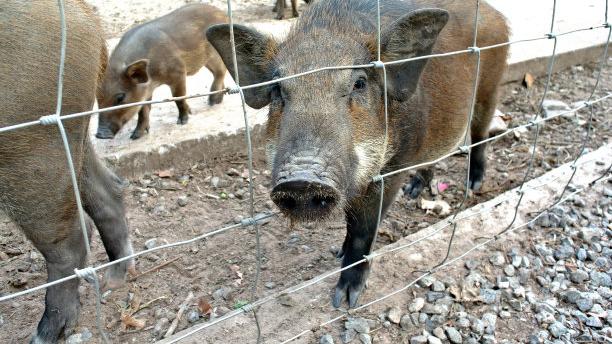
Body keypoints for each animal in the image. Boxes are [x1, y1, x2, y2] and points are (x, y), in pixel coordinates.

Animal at [0, 0, 133, 342]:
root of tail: (87, 17)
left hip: (31, 149)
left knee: (70, 239)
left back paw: (44, 333)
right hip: (72, 138)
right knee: (110, 190)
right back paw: (115, 278)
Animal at [94, 3, 228, 140]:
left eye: (120, 97)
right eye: (97, 98)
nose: (100, 135)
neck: (154, 79)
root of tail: (222, 13)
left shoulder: (179, 72)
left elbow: (178, 98)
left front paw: (182, 122)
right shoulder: (145, 91)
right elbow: (143, 111)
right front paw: (135, 136)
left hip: (214, 55)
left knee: (221, 72)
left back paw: (212, 102)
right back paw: (218, 100)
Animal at [208, 0, 510, 306]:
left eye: (360, 83)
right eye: (277, 89)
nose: (301, 180)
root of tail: (495, 13)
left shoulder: (393, 168)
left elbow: (363, 230)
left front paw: (345, 300)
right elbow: (350, 222)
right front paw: (338, 254)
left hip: (490, 87)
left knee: (480, 134)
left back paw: (473, 185)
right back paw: (415, 191)